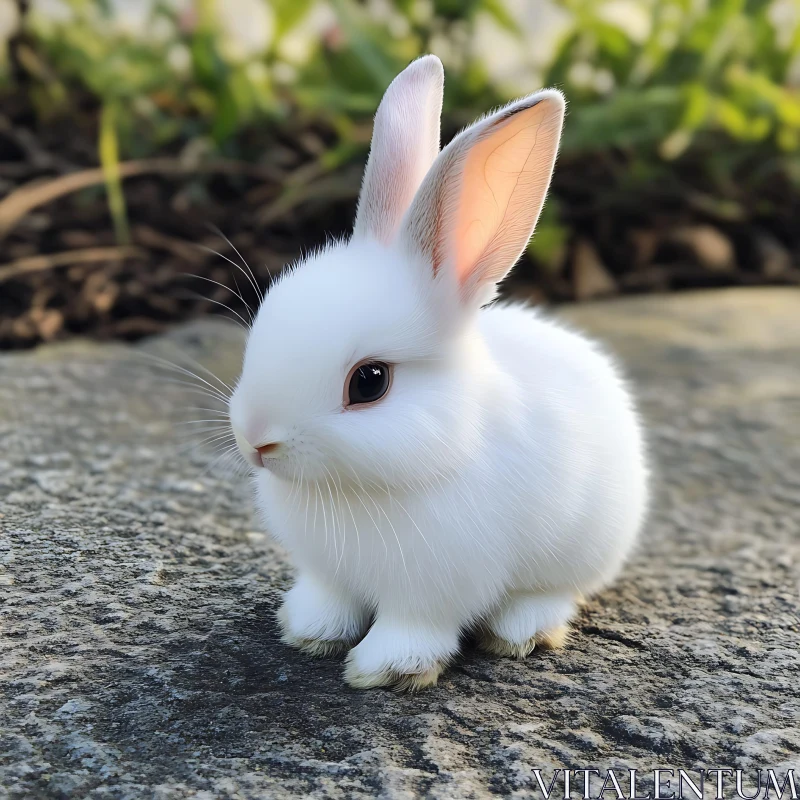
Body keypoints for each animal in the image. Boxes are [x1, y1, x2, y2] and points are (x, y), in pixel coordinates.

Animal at [227, 56, 648, 692]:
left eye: (370, 382)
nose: (256, 441)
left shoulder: (433, 590)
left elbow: (413, 628)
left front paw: (385, 671)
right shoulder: (329, 573)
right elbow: (331, 600)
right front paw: (309, 633)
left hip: (584, 546)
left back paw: (519, 632)